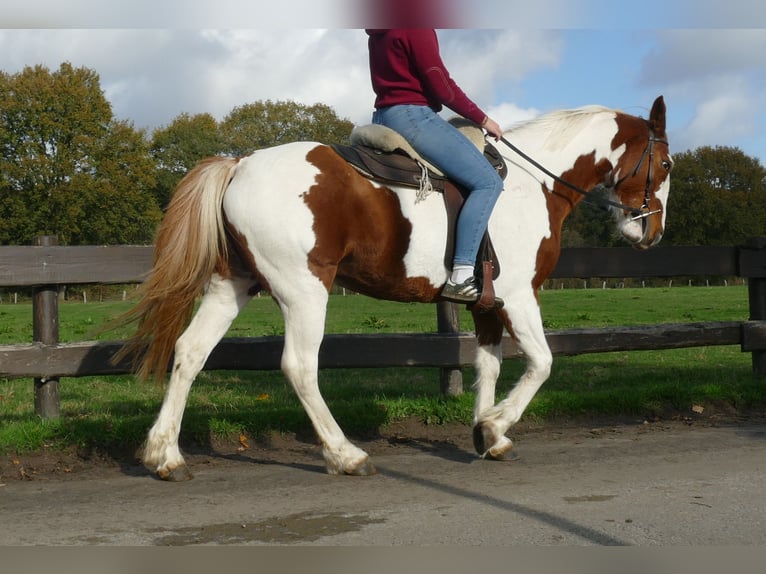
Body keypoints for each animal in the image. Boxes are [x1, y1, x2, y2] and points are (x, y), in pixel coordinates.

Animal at [118, 95, 672, 482]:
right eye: (665, 165)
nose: (653, 233)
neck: (529, 183)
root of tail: (240, 163)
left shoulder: (487, 305)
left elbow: (488, 367)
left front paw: (486, 435)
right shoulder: (518, 297)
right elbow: (542, 363)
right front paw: (495, 427)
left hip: (231, 285)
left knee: (190, 352)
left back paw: (165, 455)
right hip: (304, 291)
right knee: (299, 367)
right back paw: (346, 455)